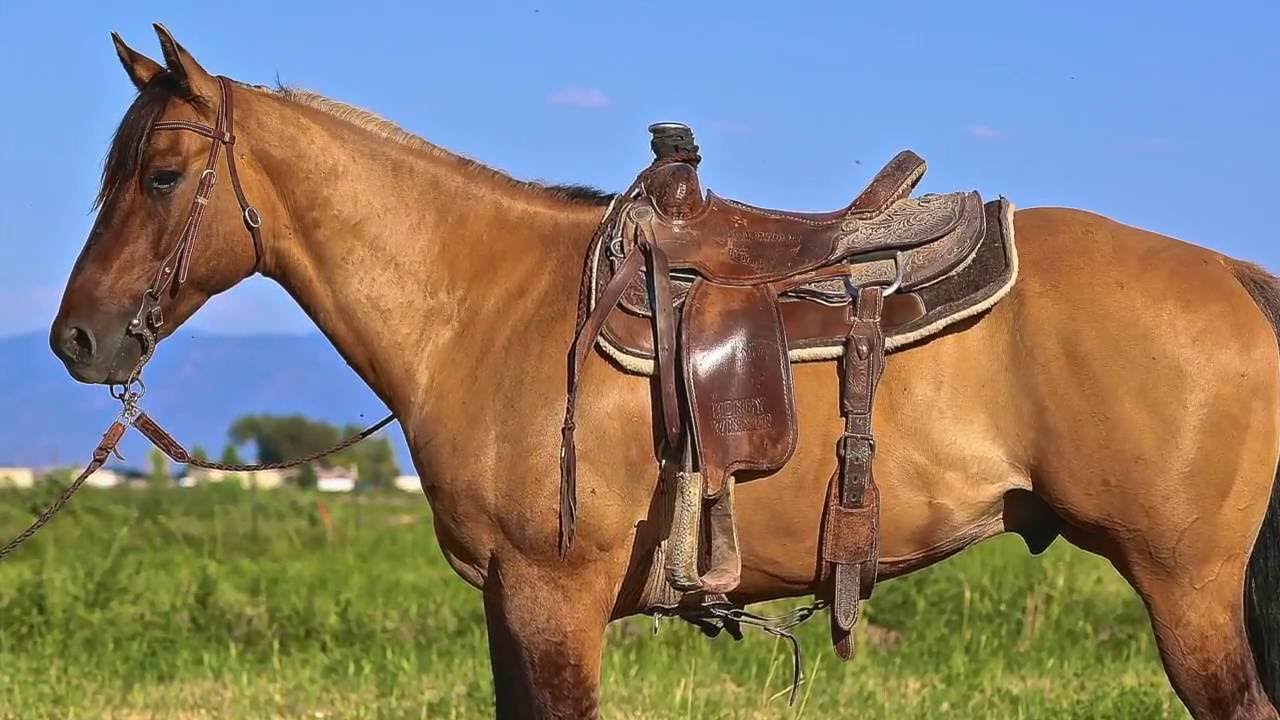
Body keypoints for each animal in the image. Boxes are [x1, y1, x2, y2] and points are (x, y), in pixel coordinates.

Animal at [49, 25, 1280, 719]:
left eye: (161, 176)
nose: (77, 341)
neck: (480, 304)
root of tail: (1234, 277)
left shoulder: (553, 601)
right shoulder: (510, 603)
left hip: (1187, 592)